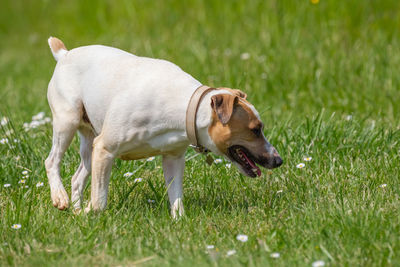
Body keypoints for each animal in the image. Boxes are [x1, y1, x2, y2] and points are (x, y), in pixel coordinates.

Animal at [45, 36, 282, 219]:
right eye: (255, 129)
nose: (278, 160)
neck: (184, 106)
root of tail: (64, 54)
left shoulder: (173, 158)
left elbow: (176, 196)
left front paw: (180, 222)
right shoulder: (105, 149)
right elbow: (99, 200)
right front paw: (91, 213)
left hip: (89, 142)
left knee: (77, 177)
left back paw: (76, 210)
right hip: (67, 122)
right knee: (52, 161)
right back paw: (61, 198)